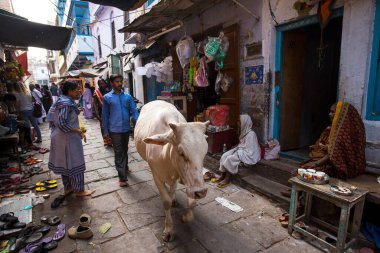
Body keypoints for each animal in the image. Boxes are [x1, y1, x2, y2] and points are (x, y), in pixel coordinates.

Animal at [134, 100, 211, 241]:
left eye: (204, 152)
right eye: (181, 152)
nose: (201, 192)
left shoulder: (187, 180)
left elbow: (192, 202)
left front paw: (186, 217)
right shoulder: (156, 175)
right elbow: (166, 201)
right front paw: (168, 230)